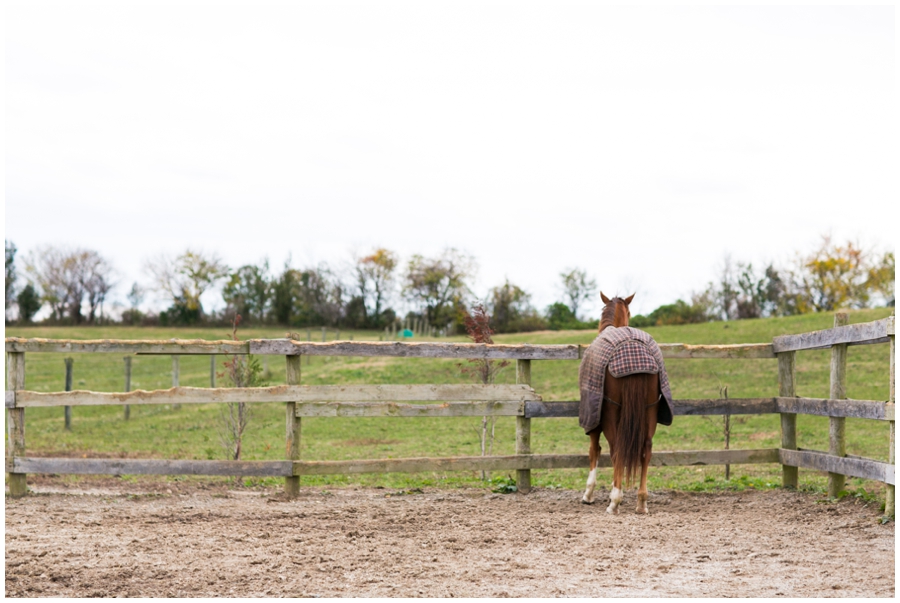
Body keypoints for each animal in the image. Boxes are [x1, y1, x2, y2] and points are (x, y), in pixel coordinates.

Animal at [584, 292, 660, 516]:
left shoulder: (594, 421)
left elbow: (595, 450)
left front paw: (589, 493)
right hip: (650, 410)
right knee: (646, 450)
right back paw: (641, 501)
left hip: (611, 412)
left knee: (616, 448)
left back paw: (615, 502)